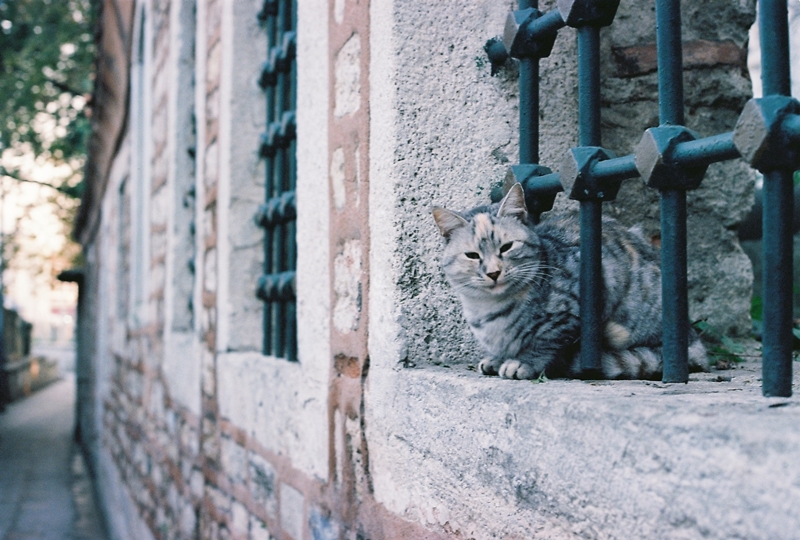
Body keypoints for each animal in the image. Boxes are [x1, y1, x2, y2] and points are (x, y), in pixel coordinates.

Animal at [432, 185, 708, 380]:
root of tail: (694, 342)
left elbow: (544, 342)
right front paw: (496, 358)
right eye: (472, 255)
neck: (487, 308)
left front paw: (522, 362)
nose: (493, 272)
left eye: (507, 247)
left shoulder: (573, 308)